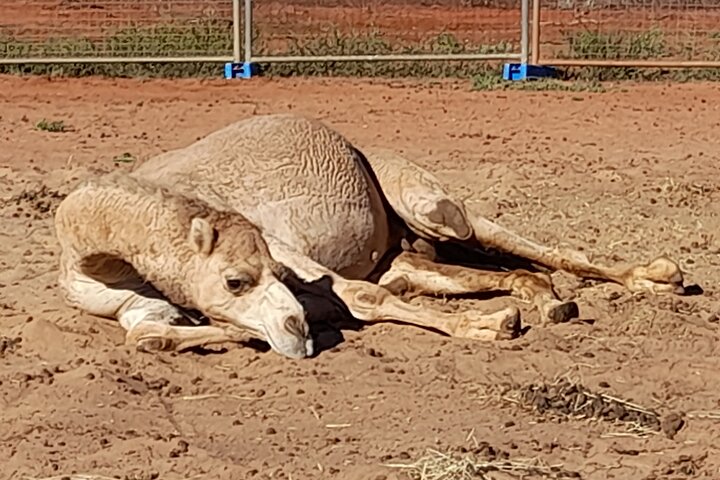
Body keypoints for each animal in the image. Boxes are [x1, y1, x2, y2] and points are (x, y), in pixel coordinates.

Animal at [56, 114, 688, 358]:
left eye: (264, 269)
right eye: (235, 281)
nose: (294, 328)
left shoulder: (291, 252)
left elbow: (361, 296)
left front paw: (486, 328)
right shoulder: (137, 303)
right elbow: (146, 334)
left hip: (435, 209)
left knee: (533, 246)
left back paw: (658, 277)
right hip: (408, 253)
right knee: (471, 272)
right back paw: (547, 299)